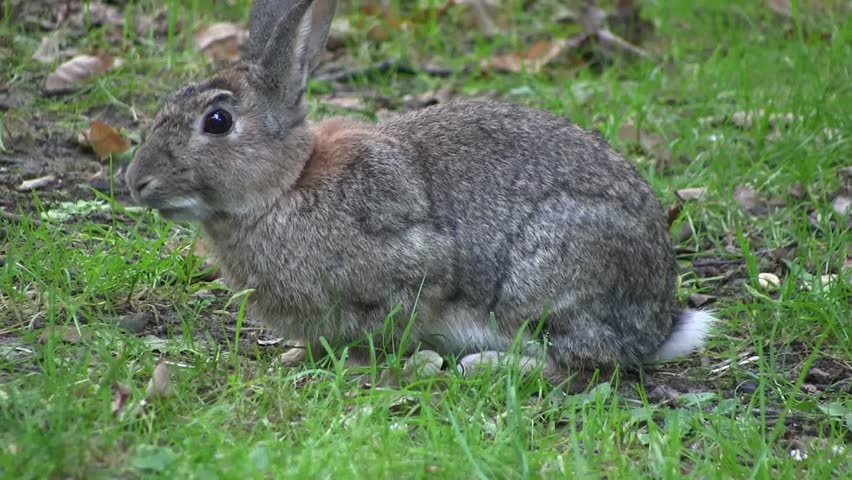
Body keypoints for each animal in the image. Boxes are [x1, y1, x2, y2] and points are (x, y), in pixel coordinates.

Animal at [125, 0, 714, 382]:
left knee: (580, 362)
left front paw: (355, 364)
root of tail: (658, 322)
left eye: (218, 121)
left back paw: (488, 366)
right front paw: (297, 356)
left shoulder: (410, 266)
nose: (136, 181)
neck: (284, 187)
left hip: (547, 279)